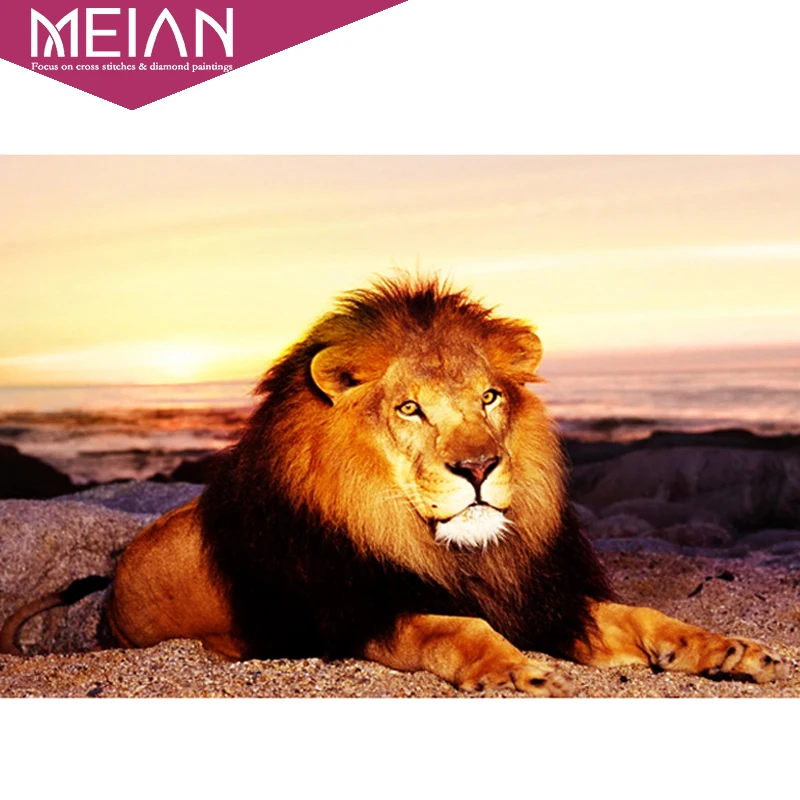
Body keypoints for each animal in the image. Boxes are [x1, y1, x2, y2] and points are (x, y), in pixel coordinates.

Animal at [1, 276, 789, 694]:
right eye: (410, 409)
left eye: (489, 398)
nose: (478, 469)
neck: (456, 552)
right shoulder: (359, 613)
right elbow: (453, 626)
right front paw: (523, 672)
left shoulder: (544, 597)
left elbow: (645, 616)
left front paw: (729, 649)